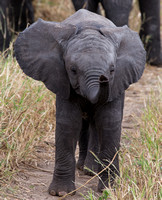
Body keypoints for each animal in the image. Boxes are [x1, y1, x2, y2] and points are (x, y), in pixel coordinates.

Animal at [13, 9, 146, 197]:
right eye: (73, 70)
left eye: (112, 69)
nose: (103, 79)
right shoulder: (62, 79)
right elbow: (69, 122)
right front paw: (61, 193)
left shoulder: (118, 81)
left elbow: (109, 121)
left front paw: (111, 190)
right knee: (85, 123)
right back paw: (85, 168)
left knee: (95, 123)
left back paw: (91, 170)